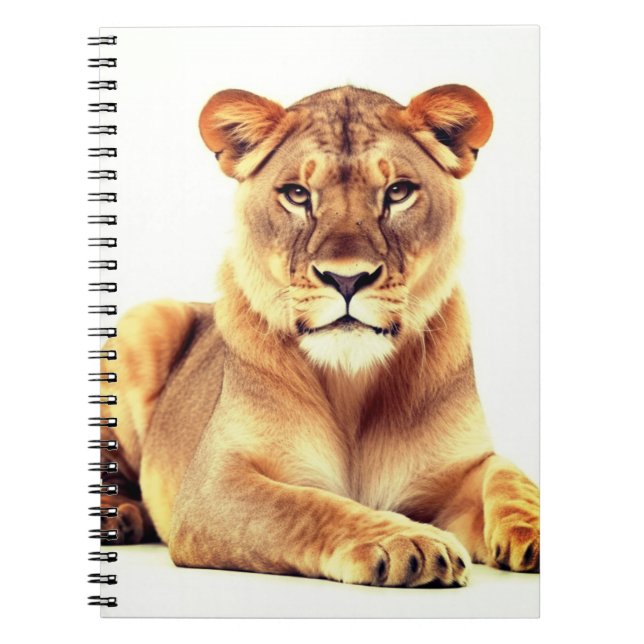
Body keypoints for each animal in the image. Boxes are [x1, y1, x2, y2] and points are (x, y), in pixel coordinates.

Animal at [99, 84, 539, 587]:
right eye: (297, 194)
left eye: (398, 192)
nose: (347, 279)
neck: (352, 382)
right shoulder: (211, 487)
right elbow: (303, 507)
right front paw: (408, 541)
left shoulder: (460, 470)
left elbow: (506, 473)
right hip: (145, 321)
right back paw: (120, 518)